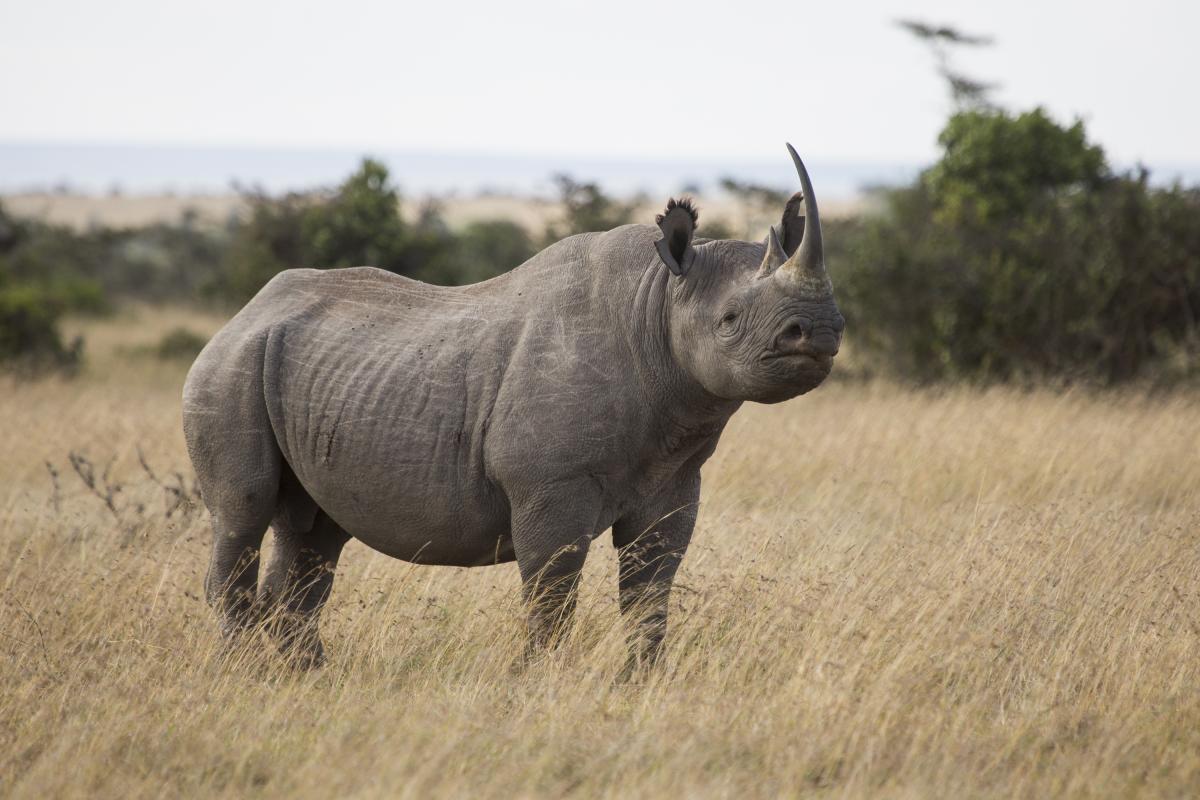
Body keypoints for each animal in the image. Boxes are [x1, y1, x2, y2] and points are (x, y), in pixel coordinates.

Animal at [182, 145, 843, 670]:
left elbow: (651, 589)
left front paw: (644, 683)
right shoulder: (549, 483)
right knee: (243, 511)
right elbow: (551, 594)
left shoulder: (674, 480)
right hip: (227, 371)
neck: (657, 303)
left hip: (307, 374)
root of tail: (241, 314)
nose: (818, 331)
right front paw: (539, 682)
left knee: (314, 533)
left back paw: (307, 677)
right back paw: (245, 674)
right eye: (729, 321)